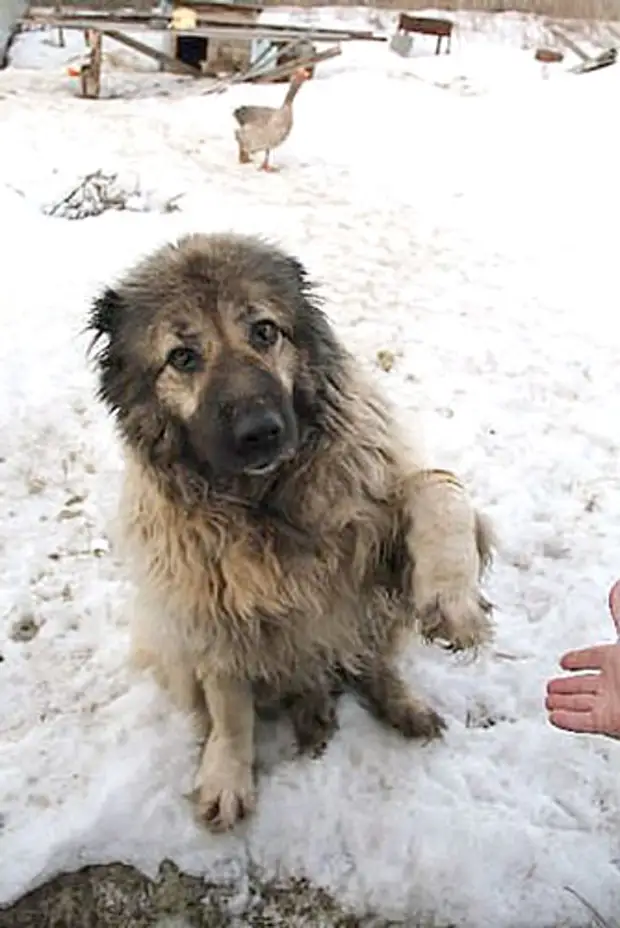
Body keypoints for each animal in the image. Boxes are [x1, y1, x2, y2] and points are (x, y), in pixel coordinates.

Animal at [88, 232, 494, 832]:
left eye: (264, 331)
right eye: (182, 357)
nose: (260, 432)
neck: (265, 505)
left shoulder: (375, 536)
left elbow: (441, 491)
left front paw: (452, 600)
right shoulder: (207, 611)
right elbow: (230, 707)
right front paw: (227, 776)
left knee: (371, 661)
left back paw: (399, 703)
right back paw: (312, 711)